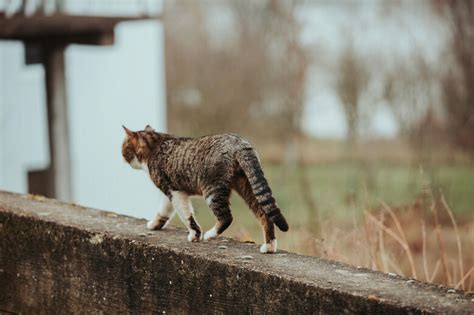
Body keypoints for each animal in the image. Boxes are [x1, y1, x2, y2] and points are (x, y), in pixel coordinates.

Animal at [121, 124, 288, 253]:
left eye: (124, 148)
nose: (121, 157)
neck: (155, 145)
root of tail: (240, 143)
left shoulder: (174, 191)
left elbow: (186, 215)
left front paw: (195, 235)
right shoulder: (171, 191)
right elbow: (164, 210)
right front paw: (155, 224)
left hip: (212, 191)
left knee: (227, 217)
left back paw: (210, 235)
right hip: (247, 185)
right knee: (264, 214)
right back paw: (269, 246)